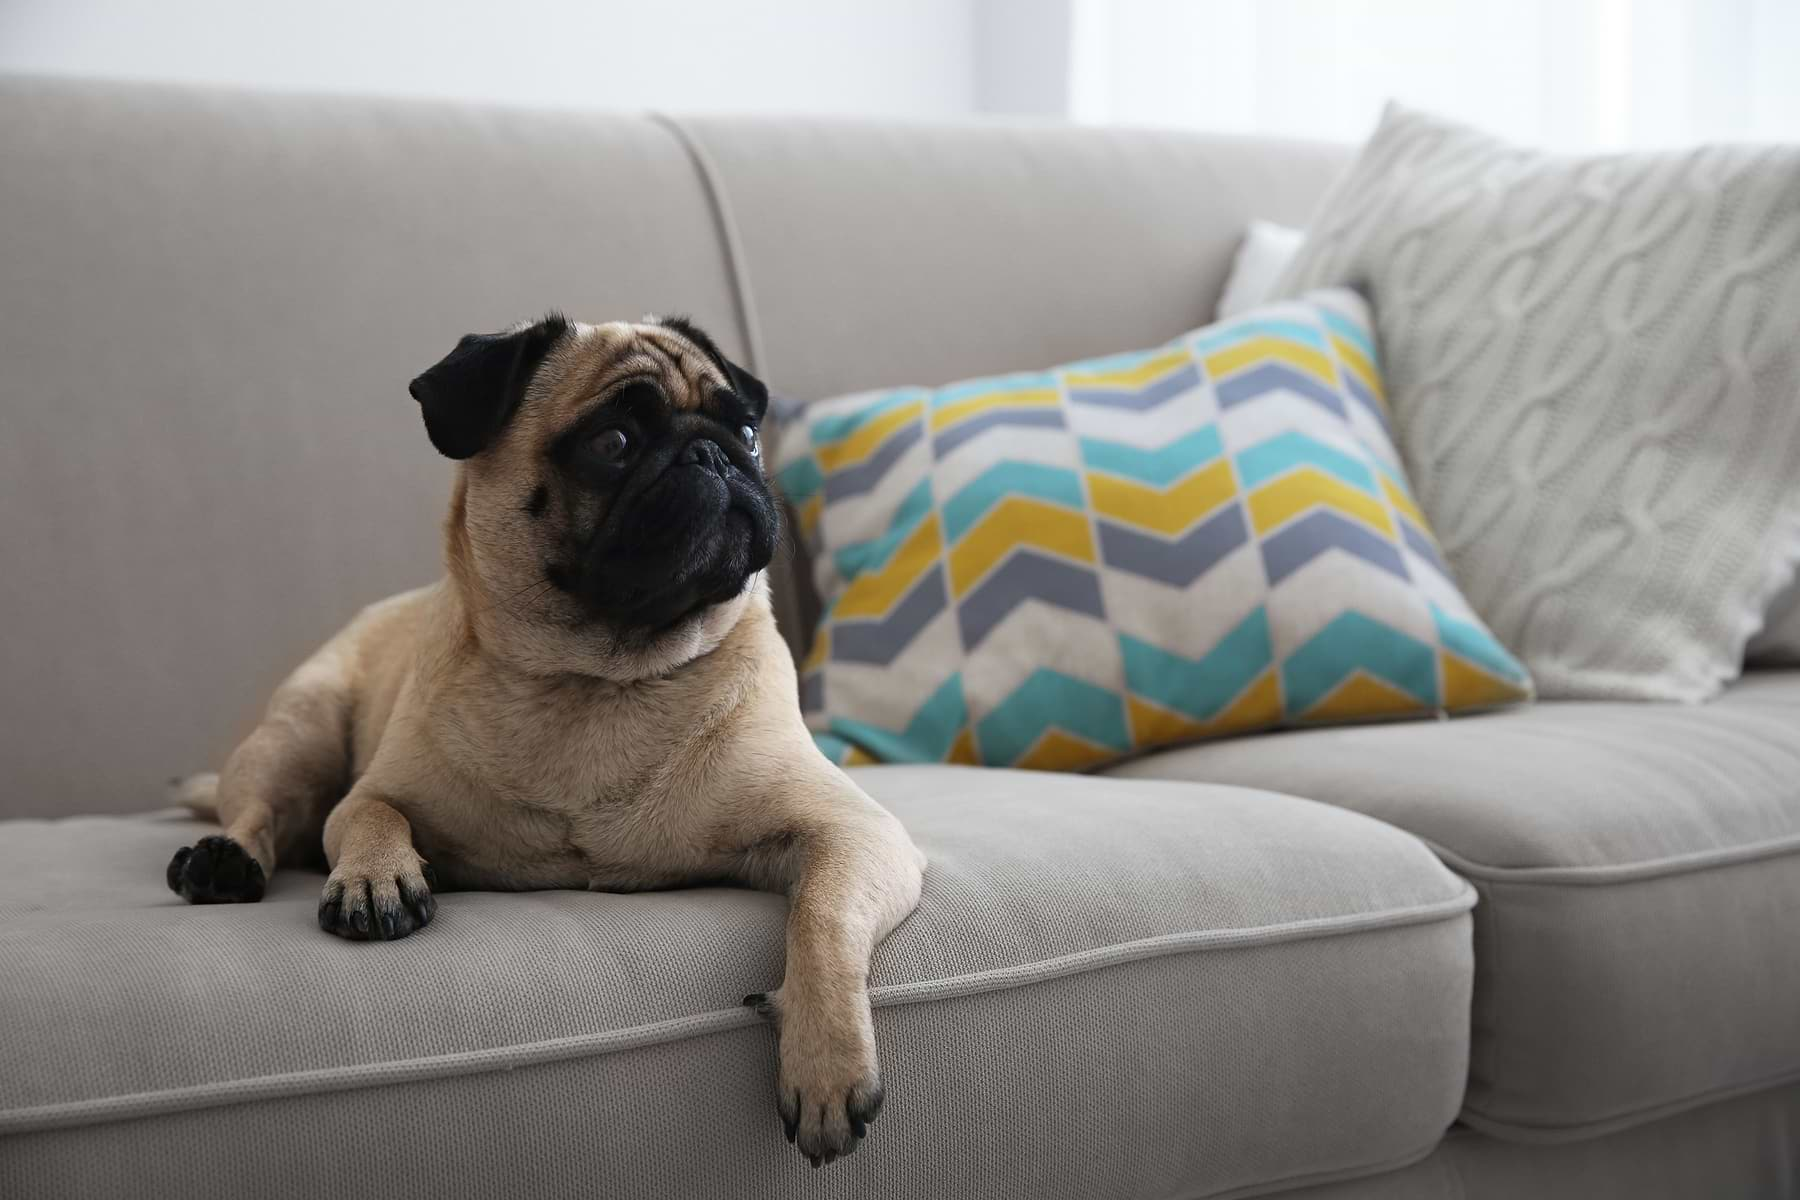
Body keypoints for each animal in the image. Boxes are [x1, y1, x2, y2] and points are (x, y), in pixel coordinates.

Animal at [165, 313, 928, 1165]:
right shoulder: (372, 795)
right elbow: (371, 815)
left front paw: (826, 1062)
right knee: (262, 813)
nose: (714, 453)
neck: (597, 679)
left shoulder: (853, 834)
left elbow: (821, 917)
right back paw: (223, 862)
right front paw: (373, 877)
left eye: (748, 434)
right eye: (613, 443)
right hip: (303, 727)